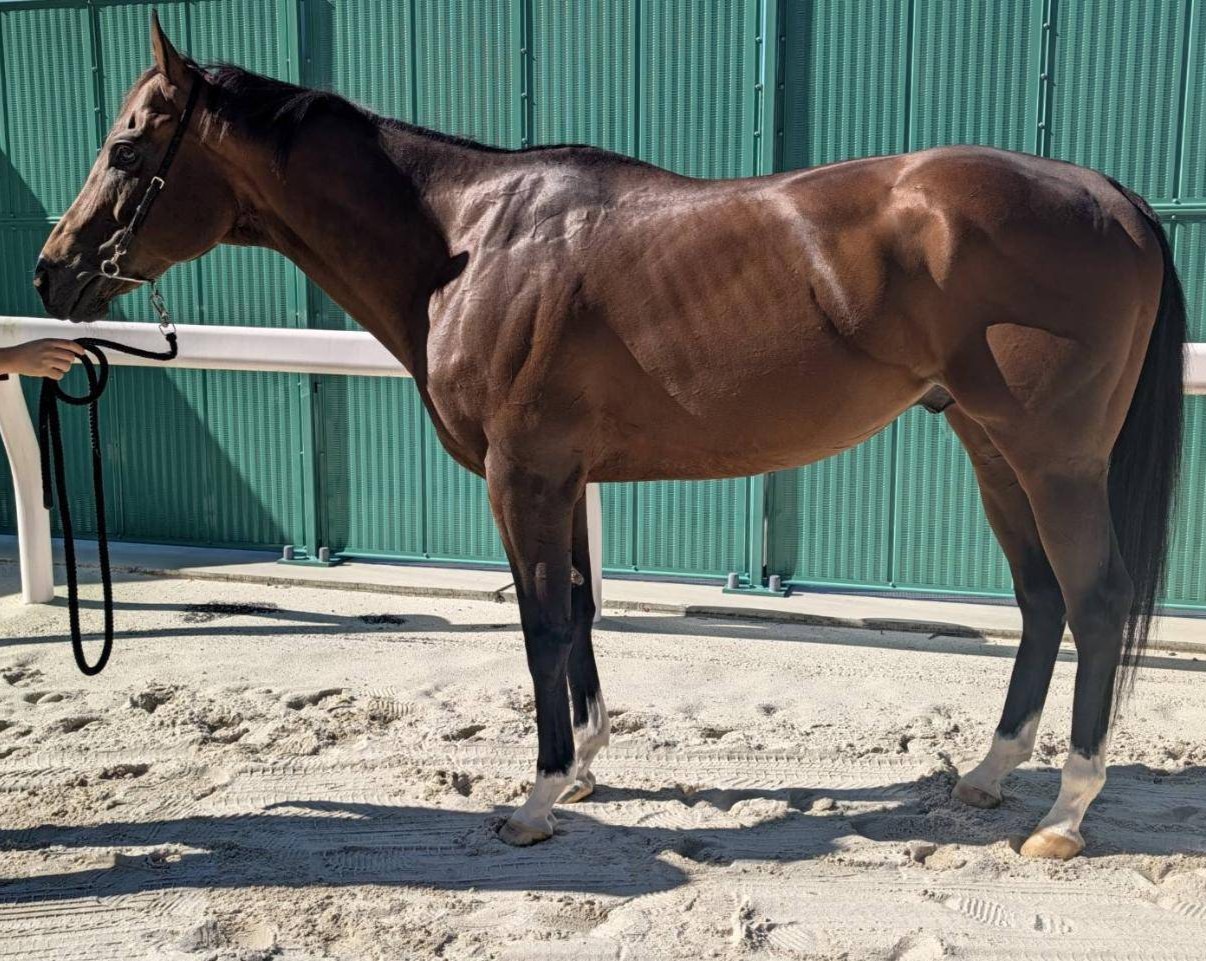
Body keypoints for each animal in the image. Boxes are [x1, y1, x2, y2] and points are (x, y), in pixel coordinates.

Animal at [35, 13, 1185, 858]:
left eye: (127, 145)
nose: (52, 273)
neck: (469, 244)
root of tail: (1110, 195)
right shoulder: (564, 476)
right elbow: (581, 611)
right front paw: (587, 763)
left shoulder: (521, 475)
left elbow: (543, 624)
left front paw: (540, 797)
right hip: (992, 450)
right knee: (1039, 602)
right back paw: (988, 778)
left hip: (1053, 461)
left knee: (1092, 601)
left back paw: (1065, 815)